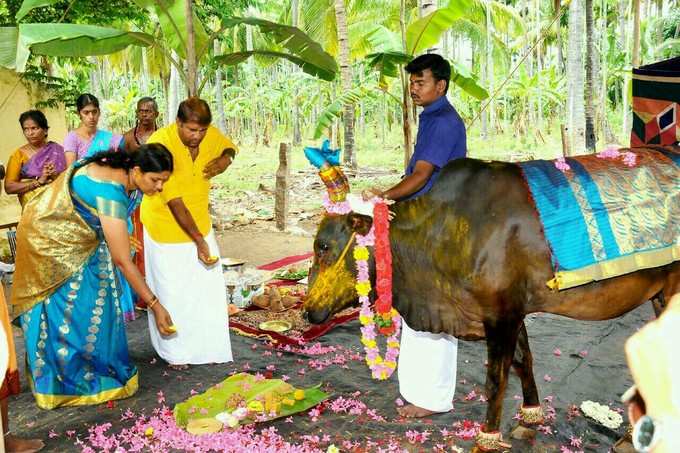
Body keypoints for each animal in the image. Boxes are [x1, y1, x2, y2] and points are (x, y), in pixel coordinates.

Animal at [304, 156, 680, 452]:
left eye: (323, 245)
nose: (308, 311)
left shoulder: (501, 316)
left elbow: (496, 380)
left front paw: (487, 439)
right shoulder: (513, 311)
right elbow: (524, 362)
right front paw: (529, 418)